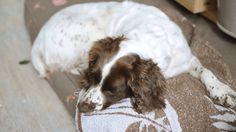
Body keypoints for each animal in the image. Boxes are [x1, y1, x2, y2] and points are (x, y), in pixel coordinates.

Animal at [31, 1, 236, 113]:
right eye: (92, 79)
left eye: (112, 91)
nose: (82, 107)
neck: (145, 41)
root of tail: (38, 42)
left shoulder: (187, 60)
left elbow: (207, 71)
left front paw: (222, 92)